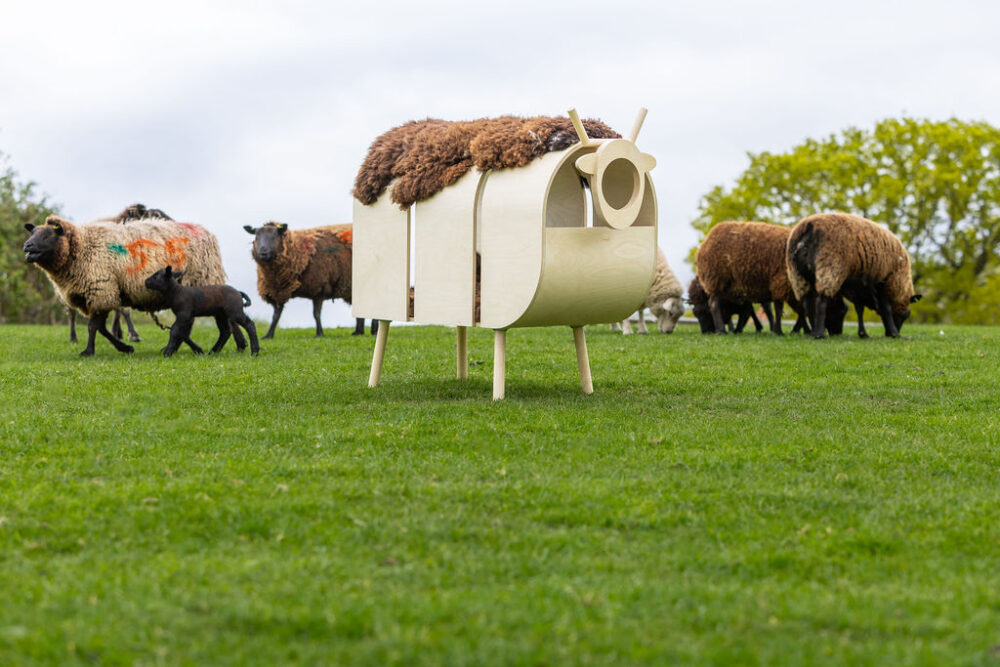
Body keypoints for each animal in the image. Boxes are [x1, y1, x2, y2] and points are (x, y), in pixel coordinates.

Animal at [22, 215, 226, 356]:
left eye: (47, 235)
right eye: (33, 233)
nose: (26, 246)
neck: (81, 247)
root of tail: (208, 233)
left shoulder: (100, 291)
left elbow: (93, 327)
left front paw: (88, 351)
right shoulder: (97, 296)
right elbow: (101, 328)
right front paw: (124, 348)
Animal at [242, 221, 375, 339]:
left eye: (274, 236)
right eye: (256, 236)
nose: (262, 252)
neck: (297, 253)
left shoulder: (319, 288)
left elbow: (316, 314)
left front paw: (319, 333)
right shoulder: (278, 290)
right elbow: (275, 316)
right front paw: (268, 335)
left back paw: (372, 331)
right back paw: (358, 332)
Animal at [786, 212, 921, 339]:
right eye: (905, 315)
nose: (890, 333)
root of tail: (809, 226)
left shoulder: (858, 287)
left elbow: (859, 309)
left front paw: (863, 334)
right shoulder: (884, 281)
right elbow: (886, 309)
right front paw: (894, 334)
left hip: (799, 275)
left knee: (808, 304)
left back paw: (814, 331)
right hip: (829, 266)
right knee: (821, 301)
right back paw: (819, 334)